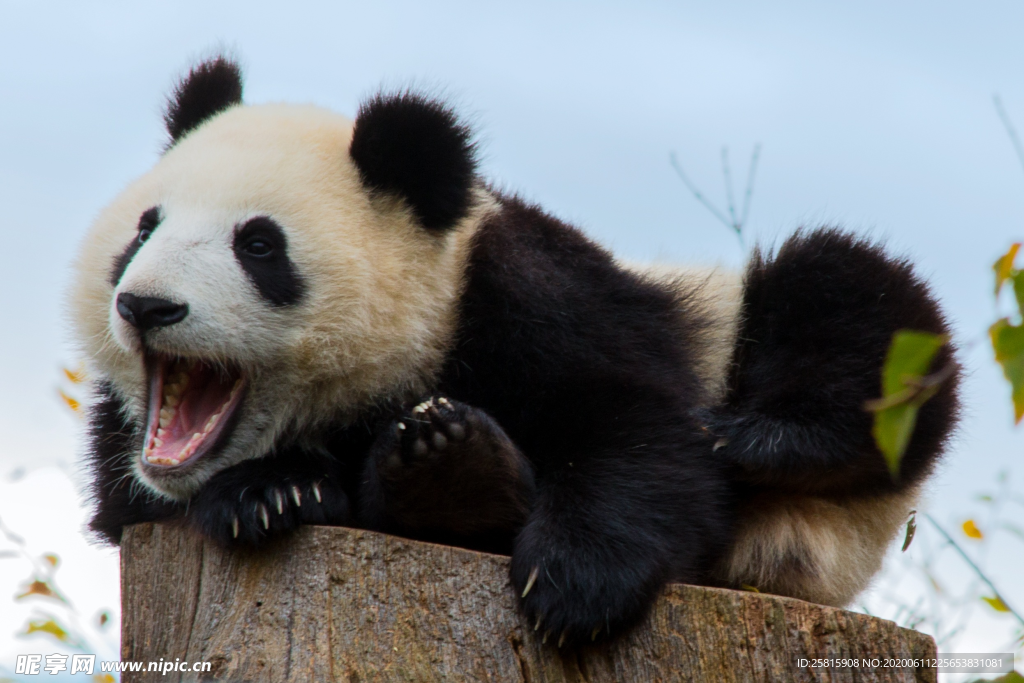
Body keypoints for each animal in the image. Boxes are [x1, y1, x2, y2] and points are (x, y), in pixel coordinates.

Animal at [68, 57, 954, 647]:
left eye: (258, 245)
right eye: (144, 229)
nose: (147, 306)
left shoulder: (527, 293)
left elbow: (640, 427)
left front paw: (573, 583)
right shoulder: (125, 451)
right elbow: (130, 502)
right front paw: (276, 491)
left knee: (852, 301)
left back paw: (763, 437)